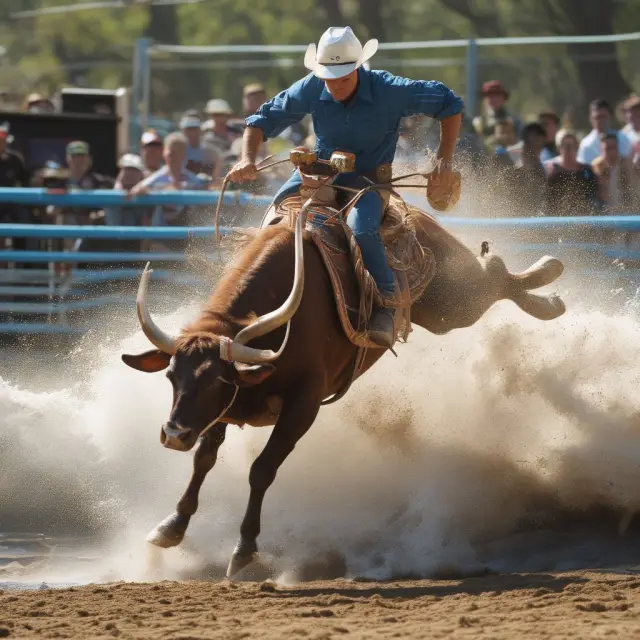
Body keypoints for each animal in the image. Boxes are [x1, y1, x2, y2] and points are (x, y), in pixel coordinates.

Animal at [122, 198, 564, 578]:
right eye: (171, 376)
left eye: (217, 380)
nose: (173, 434)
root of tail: (414, 213)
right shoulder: (226, 409)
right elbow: (204, 460)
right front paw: (172, 526)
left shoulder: (303, 405)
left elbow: (261, 469)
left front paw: (244, 550)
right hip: (441, 311)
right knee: (495, 276)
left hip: (453, 303)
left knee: (495, 275)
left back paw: (549, 284)